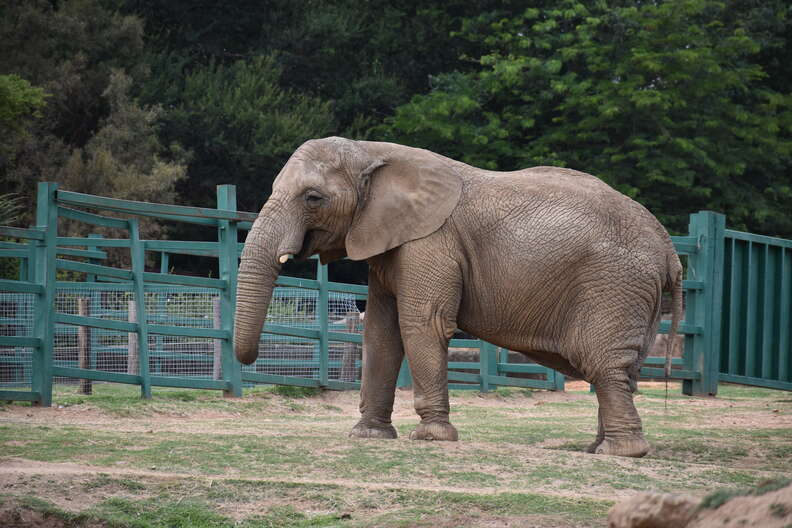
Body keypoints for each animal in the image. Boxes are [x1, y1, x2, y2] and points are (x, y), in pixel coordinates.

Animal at [234, 136, 680, 458]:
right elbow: (380, 333)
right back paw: (598, 448)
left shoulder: (431, 242)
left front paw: (431, 438)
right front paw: (368, 437)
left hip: (614, 285)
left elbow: (421, 324)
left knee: (604, 364)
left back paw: (619, 453)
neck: (373, 152)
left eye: (313, 197)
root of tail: (668, 247)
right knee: (624, 369)